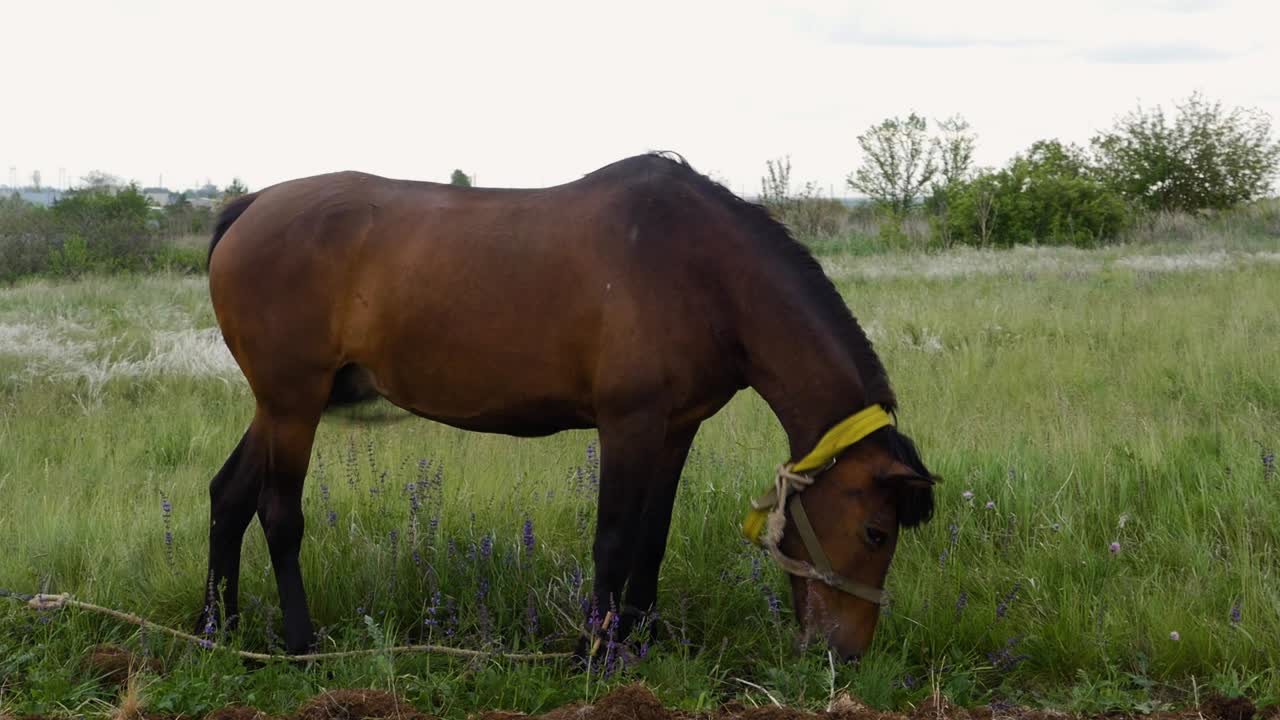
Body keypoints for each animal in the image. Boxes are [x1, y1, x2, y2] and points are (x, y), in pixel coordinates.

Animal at [201, 152, 936, 662]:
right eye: (876, 531)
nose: (845, 654)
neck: (704, 272)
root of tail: (250, 206)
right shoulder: (627, 424)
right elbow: (613, 539)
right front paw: (594, 650)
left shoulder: (676, 427)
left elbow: (651, 537)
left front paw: (640, 639)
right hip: (294, 402)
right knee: (278, 513)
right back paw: (301, 645)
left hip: (281, 405)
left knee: (228, 495)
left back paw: (220, 630)